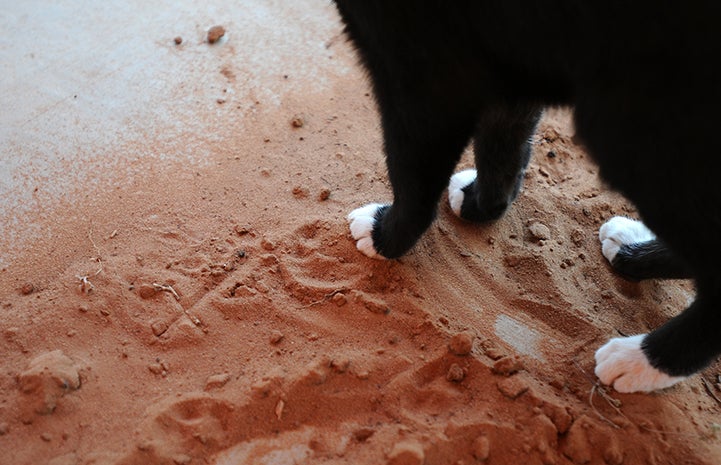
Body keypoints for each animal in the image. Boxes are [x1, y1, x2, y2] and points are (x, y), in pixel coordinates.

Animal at [332, 0, 720, 392]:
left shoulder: (424, 73)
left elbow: (411, 177)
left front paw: (383, 236)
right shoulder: (509, 68)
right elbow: (503, 148)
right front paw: (480, 205)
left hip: (633, 128)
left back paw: (643, 360)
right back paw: (631, 250)